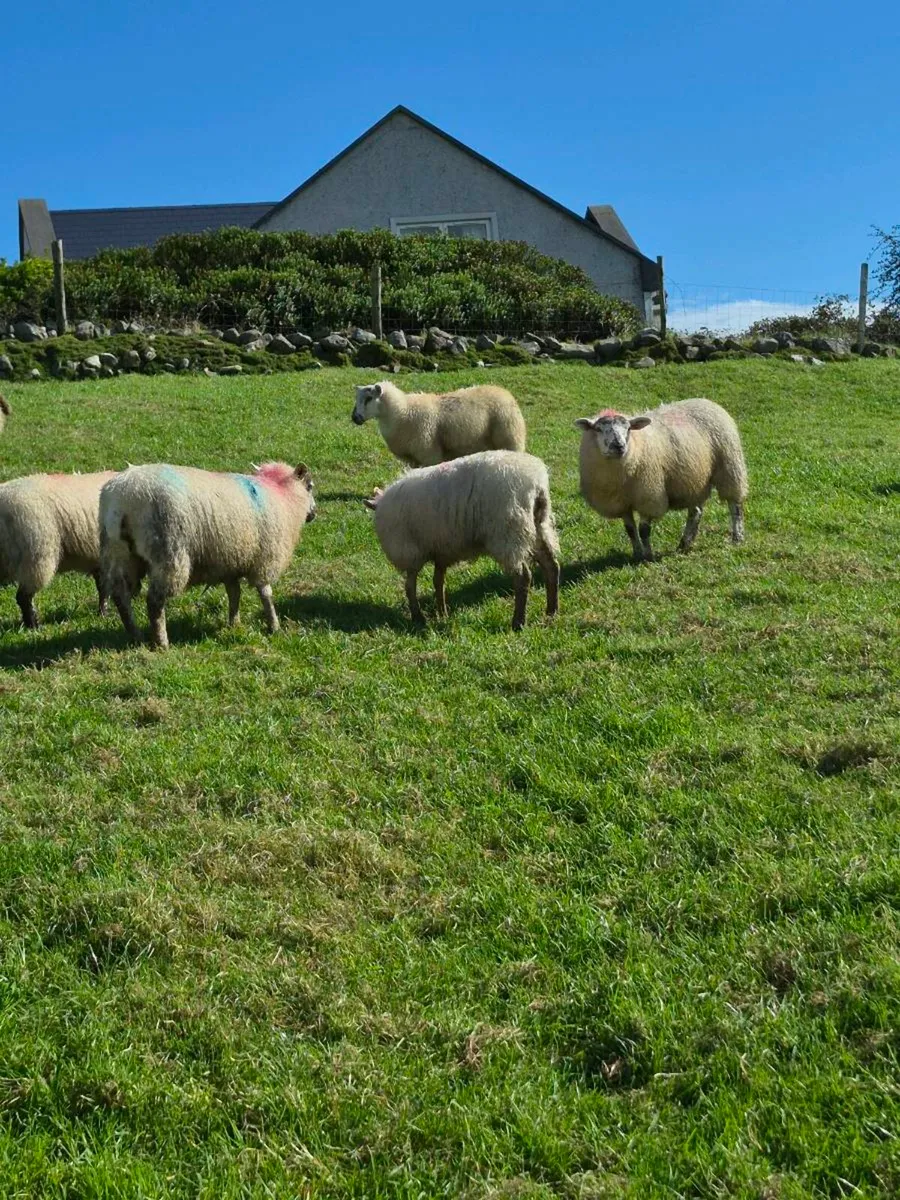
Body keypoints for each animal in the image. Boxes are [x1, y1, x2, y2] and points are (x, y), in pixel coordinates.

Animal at [0, 470, 115, 627]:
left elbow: (103, 587)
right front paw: (105, 615)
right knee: (24, 597)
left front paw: (103, 613)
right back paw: (34, 626)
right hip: (37, 556)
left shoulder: (100, 560)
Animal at [100, 461, 316, 649]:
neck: (281, 495)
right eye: (310, 486)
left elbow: (234, 593)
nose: (314, 514)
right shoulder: (265, 559)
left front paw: (234, 623)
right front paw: (274, 627)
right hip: (168, 552)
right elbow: (265, 593)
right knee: (154, 601)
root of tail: (123, 498)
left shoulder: (230, 562)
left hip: (119, 553)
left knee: (120, 596)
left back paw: (135, 634)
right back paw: (162, 643)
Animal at [351, 380, 526, 467]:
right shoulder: (413, 460)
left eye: (369, 398)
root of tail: (504, 392)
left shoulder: (429, 454)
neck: (403, 411)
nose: (355, 417)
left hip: (511, 439)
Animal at [364, 450, 560, 631]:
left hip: (508, 532)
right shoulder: (442, 549)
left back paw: (518, 622)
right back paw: (551, 612)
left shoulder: (410, 551)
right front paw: (442, 613)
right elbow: (438, 581)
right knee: (551, 566)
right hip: (538, 528)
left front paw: (418, 617)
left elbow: (410, 586)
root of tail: (535, 484)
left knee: (523, 577)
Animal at [574, 397, 748, 561]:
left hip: (729, 466)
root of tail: (705, 400)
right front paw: (637, 554)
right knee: (695, 512)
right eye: (598, 429)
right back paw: (684, 544)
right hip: (693, 481)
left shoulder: (648, 496)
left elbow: (644, 530)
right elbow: (630, 530)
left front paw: (647, 556)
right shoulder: (621, 503)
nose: (619, 446)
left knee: (735, 505)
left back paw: (737, 537)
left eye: (628, 428)